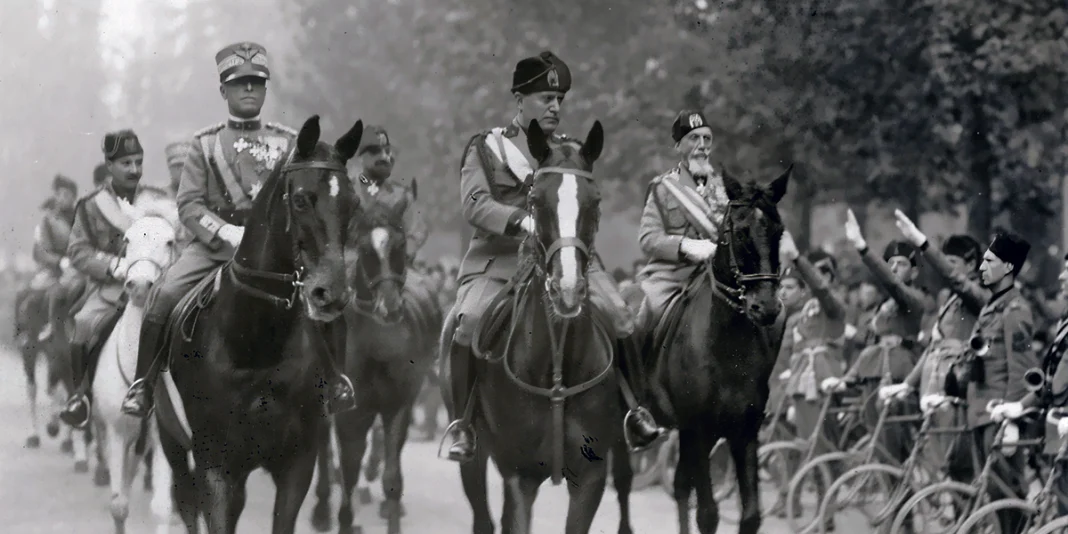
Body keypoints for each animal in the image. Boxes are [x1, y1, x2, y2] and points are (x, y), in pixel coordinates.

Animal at [92, 193, 183, 534]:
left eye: (170, 241)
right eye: (127, 239)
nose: (140, 285)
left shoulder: (165, 440)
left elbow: (162, 508)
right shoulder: (117, 432)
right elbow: (119, 506)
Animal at [152, 116, 365, 534]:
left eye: (352, 203)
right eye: (300, 199)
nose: (330, 294)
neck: (256, 344)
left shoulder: (298, 463)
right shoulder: (215, 467)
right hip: (174, 446)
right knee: (185, 502)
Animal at [309, 197, 442, 534]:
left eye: (401, 245)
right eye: (365, 249)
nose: (389, 307)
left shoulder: (399, 404)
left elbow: (391, 475)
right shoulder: (351, 412)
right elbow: (347, 469)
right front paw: (343, 519)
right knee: (324, 447)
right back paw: (322, 506)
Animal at [645, 166, 790, 534]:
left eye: (779, 231)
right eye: (739, 232)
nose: (766, 308)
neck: (728, 348)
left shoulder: (743, 431)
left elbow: (750, 515)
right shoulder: (699, 430)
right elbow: (708, 514)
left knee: (680, 485)